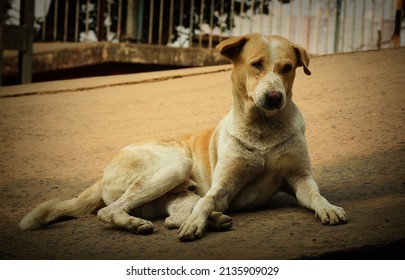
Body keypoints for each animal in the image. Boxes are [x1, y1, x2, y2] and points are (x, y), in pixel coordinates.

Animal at [20, 34, 346, 241]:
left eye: (287, 68)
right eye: (256, 65)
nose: (275, 97)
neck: (263, 129)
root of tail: (101, 176)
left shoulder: (300, 178)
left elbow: (316, 195)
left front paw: (329, 209)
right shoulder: (222, 188)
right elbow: (209, 200)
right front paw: (198, 224)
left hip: (177, 195)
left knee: (169, 217)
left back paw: (213, 221)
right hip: (174, 166)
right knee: (107, 211)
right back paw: (141, 224)